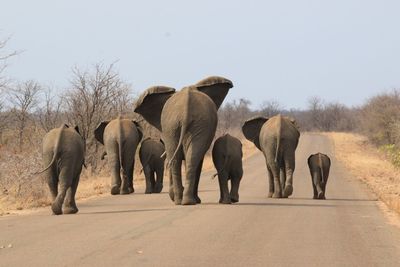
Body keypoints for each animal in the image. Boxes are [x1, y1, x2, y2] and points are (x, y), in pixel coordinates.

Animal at [134, 76, 233, 206]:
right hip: (177, 126)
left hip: (183, 125)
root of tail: (186, 108)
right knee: (188, 159)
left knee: (183, 159)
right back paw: (184, 201)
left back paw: (183, 201)